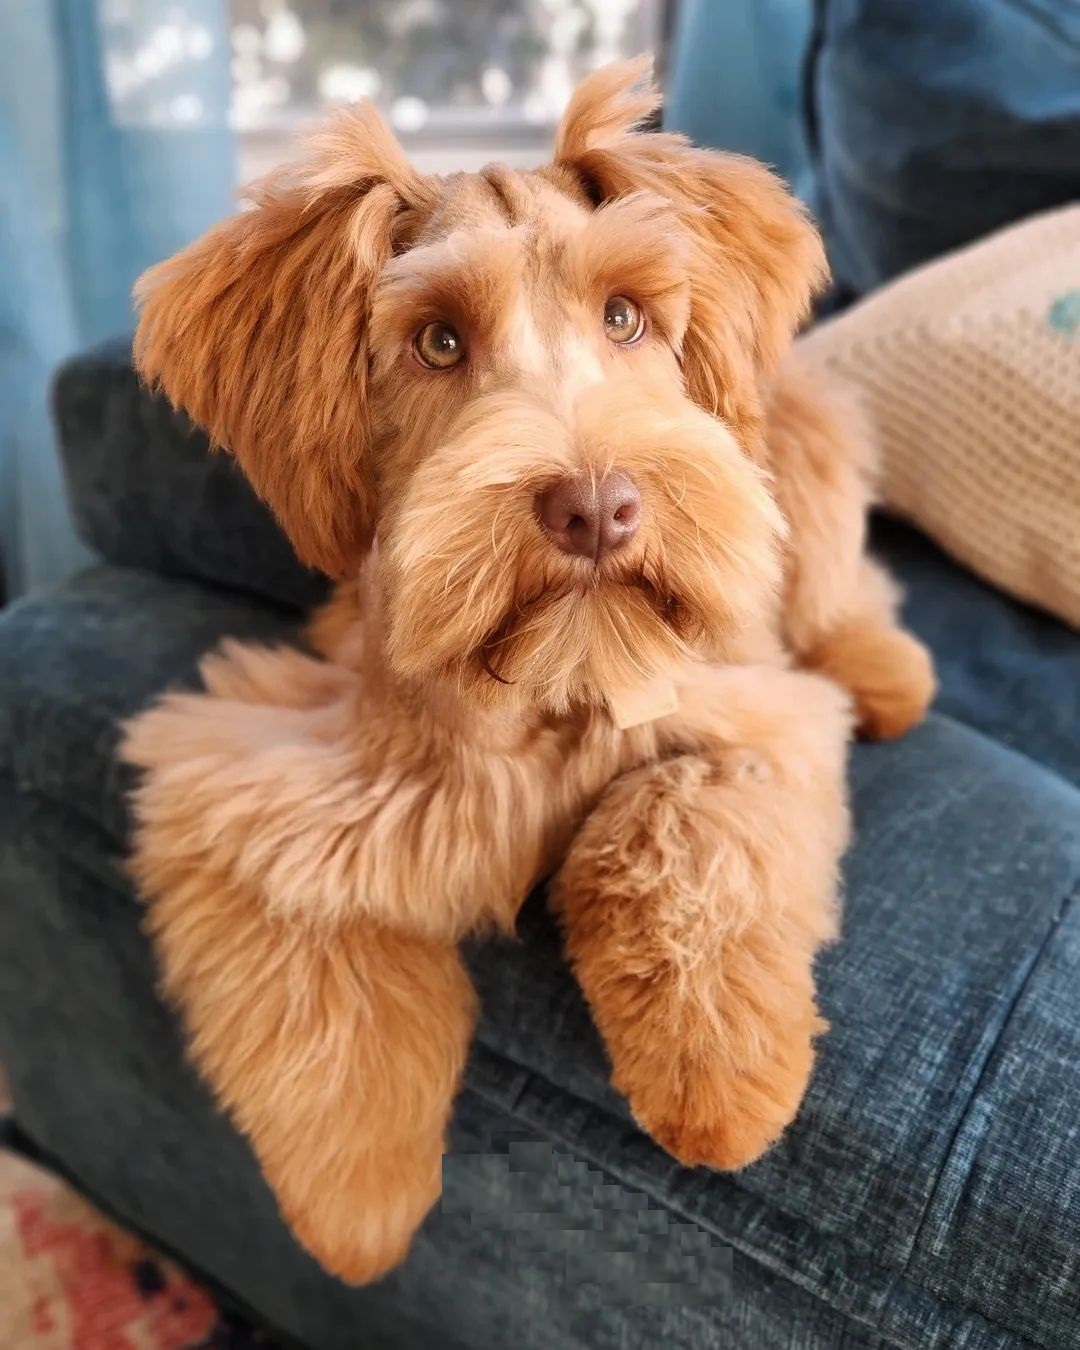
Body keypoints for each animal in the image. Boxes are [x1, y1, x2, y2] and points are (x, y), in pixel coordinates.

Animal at [116, 60, 928, 1285]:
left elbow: (676, 816)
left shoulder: (757, 715)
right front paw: (359, 1199)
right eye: (439, 343)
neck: (542, 694)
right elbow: (318, 982)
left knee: (845, 589)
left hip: (808, 451)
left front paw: (715, 1082)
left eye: (625, 316)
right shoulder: (245, 771)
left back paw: (889, 677)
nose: (598, 506)